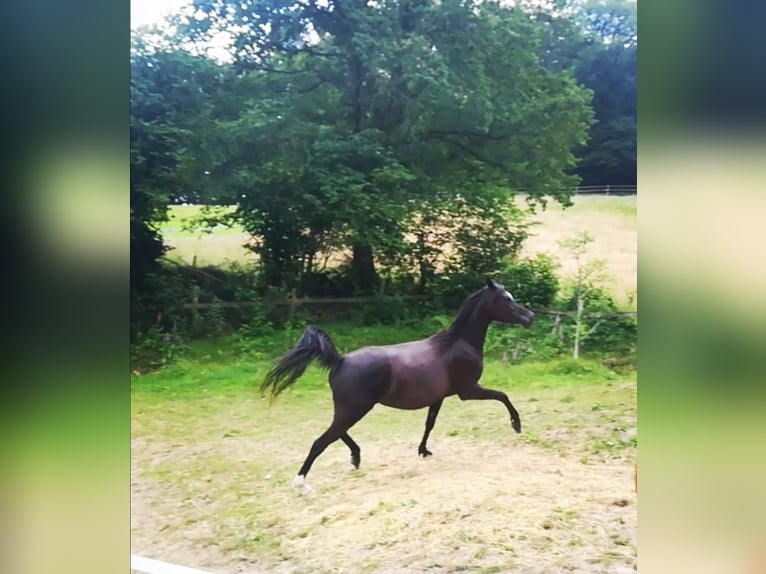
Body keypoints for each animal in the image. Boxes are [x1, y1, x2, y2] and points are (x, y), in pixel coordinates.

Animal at [259, 278, 535, 493]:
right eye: (506, 299)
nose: (530, 317)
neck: (457, 344)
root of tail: (340, 360)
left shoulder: (439, 397)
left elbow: (430, 423)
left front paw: (423, 451)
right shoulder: (468, 390)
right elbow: (502, 396)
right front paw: (517, 424)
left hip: (349, 408)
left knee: (336, 432)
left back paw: (355, 457)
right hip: (356, 408)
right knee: (322, 440)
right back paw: (302, 484)